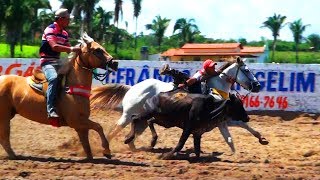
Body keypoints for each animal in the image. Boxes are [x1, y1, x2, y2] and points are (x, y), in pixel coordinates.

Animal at [90, 57, 268, 153]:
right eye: (246, 70)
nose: (258, 85)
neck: (216, 88)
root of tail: (132, 87)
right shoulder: (221, 120)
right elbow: (233, 133)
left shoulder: (224, 120)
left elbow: (239, 130)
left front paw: (261, 139)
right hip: (128, 115)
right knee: (115, 129)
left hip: (141, 118)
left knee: (132, 130)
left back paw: (133, 147)